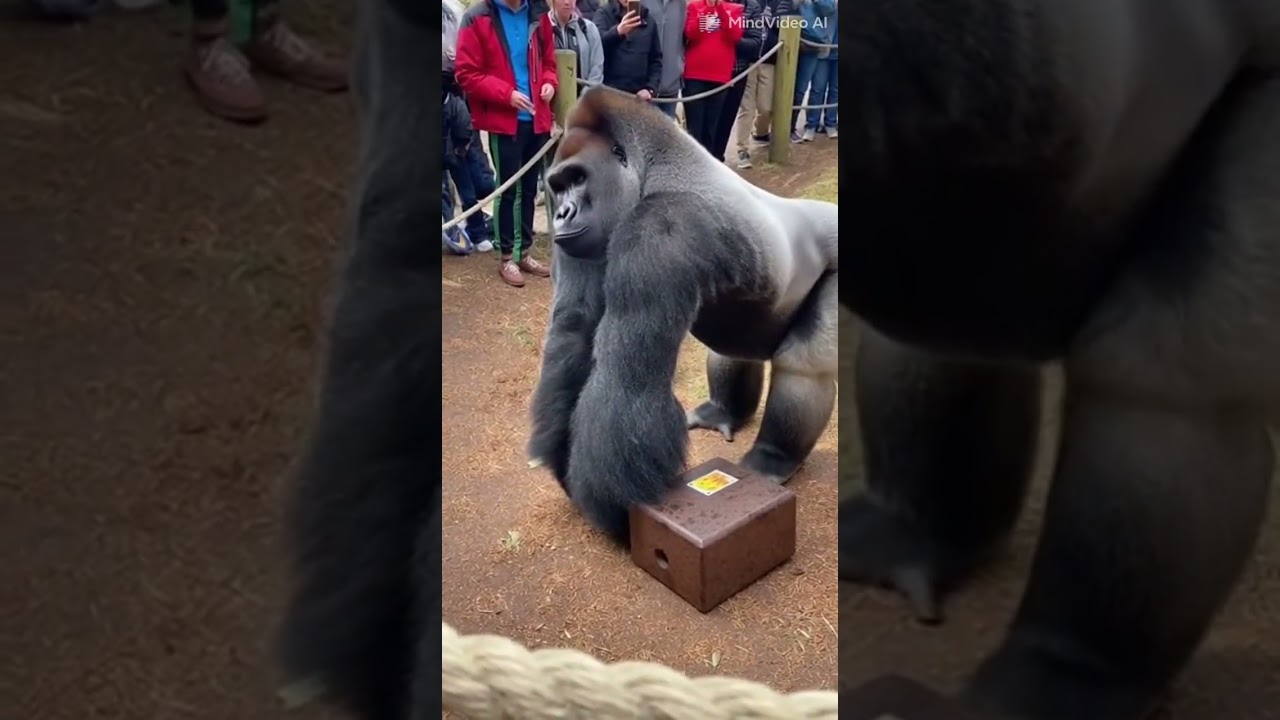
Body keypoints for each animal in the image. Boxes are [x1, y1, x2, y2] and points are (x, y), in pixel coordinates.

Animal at [527, 86, 840, 544]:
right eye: (558, 186)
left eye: (579, 179)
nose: (563, 214)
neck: (648, 172)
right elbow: (574, 332)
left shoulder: (660, 226)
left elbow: (628, 380)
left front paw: (614, 507)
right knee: (733, 350)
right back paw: (722, 412)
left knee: (804, 366)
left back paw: (773, 459)